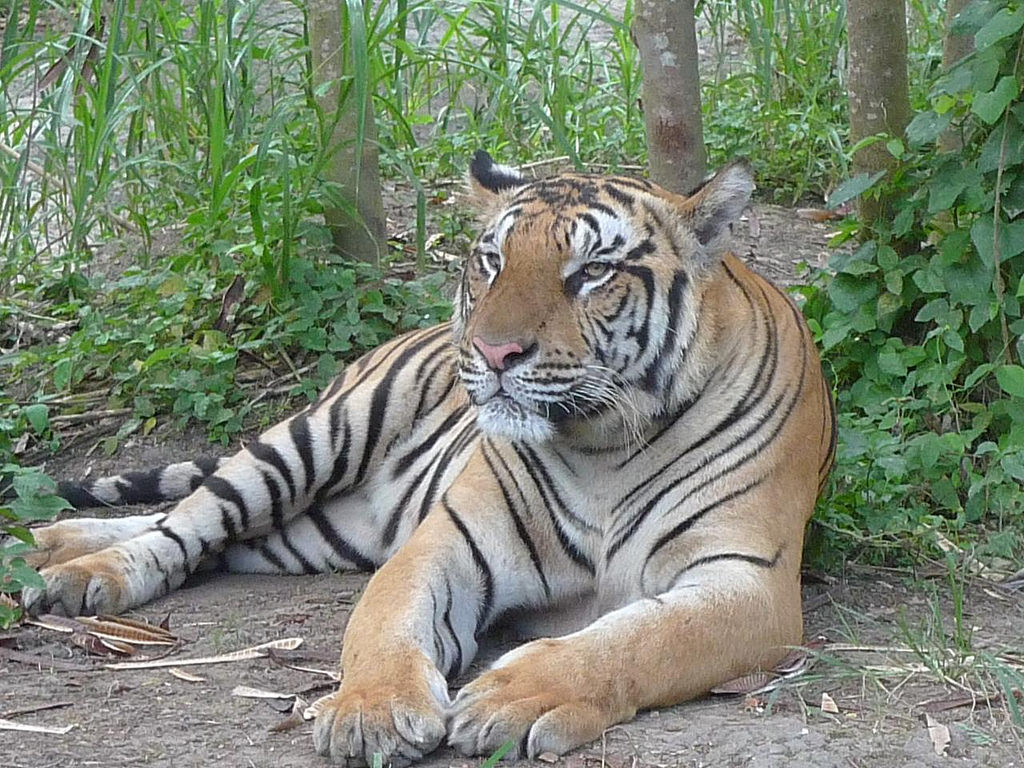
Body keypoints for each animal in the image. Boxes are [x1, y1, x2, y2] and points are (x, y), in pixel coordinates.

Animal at [22, 153, 839, 765]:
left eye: (590, 273)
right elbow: (385, 624)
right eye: (492, 261)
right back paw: (75, 568)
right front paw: (372, 712)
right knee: (188, 520)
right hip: (313, 439)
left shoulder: (748, 582)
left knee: (215, 543)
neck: (601, 443)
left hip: (309, 535)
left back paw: (51, 547)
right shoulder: (445, 541)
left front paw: (514, 696)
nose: (493, 351)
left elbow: (638, 640)